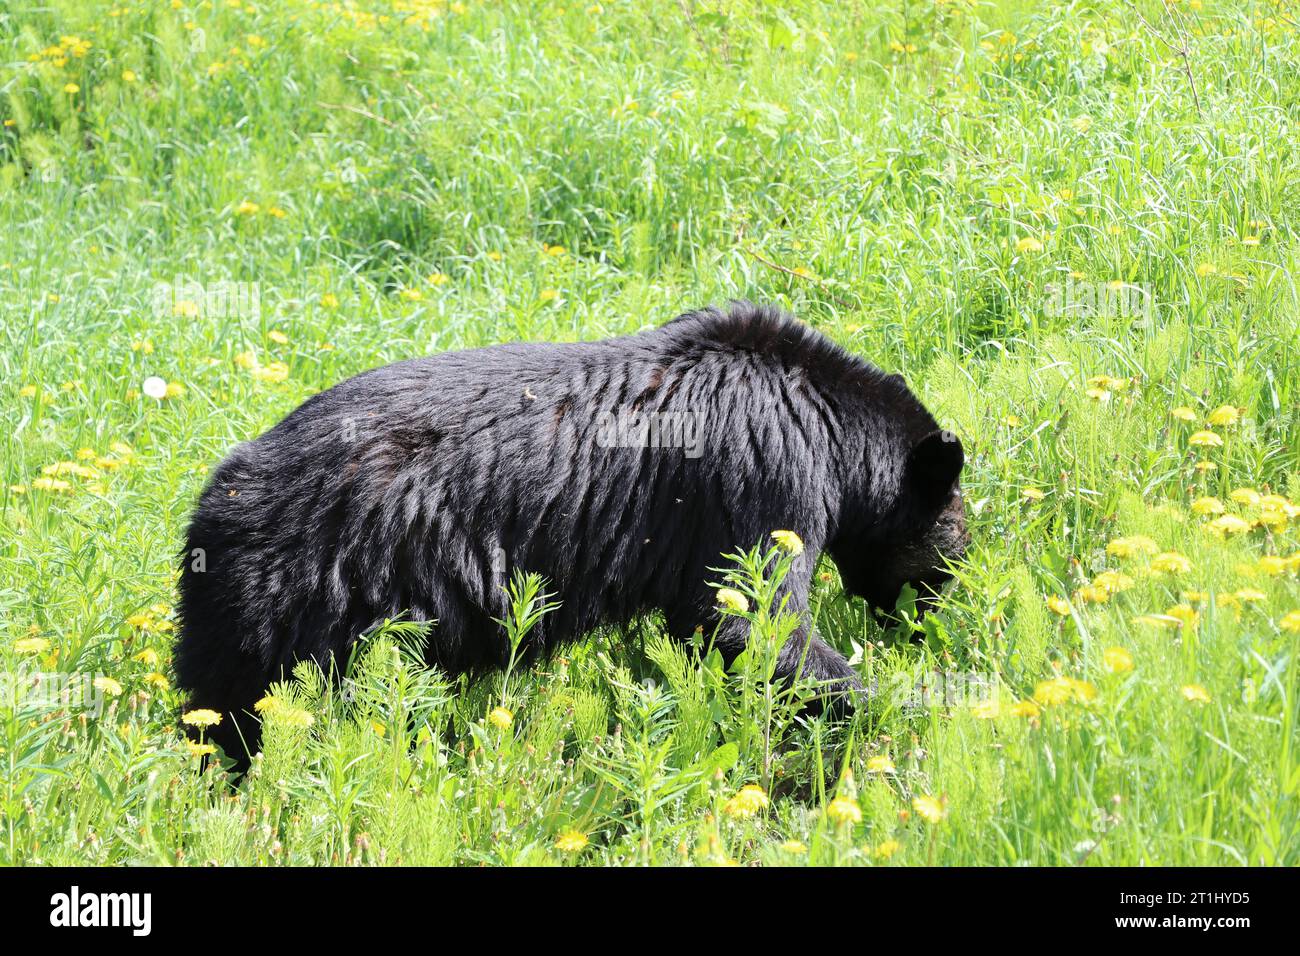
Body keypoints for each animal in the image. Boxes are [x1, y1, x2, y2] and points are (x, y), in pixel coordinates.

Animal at [172, 303, 967, 764]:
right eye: (954, 548)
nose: (936, 617)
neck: (829, 420)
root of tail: (215, 500)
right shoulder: (766, 467)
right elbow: (752, 617)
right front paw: (909, 709)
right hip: (292, 601)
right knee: (237, 714)